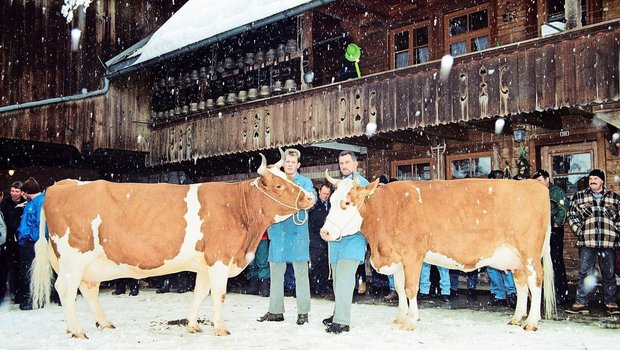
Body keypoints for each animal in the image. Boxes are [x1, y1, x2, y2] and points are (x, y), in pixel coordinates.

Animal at [30, 154, 314, 340]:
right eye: (279, 185)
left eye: (290, 177)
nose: (310, 197)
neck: (237, 208)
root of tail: (61, 184)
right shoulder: (219, 258)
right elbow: (219, 294)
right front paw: (219, 328)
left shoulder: (205, 264)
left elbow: (199, 293)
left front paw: (193, 325)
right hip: (73, 256)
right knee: (66, 290)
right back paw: (77, 330)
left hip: (87, 263)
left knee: (87, 289)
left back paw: (103, 323)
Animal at [322, 175, 556, 330]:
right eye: (331, 201)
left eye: (346, 203)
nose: (325, 232)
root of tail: (533, 184)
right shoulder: (397, 258)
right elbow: (399, 288)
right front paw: (401, 316)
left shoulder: (413, 256)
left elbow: (410, 289)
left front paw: (411, 321)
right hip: (516, 258)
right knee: (522, 284)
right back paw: (517, 318)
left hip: (529, 254)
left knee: (536, 282)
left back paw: (531, 322)